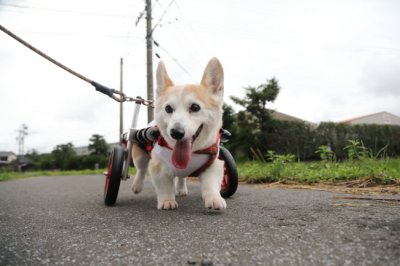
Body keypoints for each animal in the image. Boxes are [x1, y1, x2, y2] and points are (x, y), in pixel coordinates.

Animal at [130, 57, 225, 210]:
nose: (176, 132)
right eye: (168, 109)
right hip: (139, 155)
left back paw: (180, 189)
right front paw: (167, 201)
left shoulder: (213, 166)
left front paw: (214, 199)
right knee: (141, 169)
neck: (192, 153)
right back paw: (137, 185)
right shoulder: (158, 167)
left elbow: (210, 185)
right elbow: (165, 187)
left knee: (181, 176)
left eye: (195, 107)